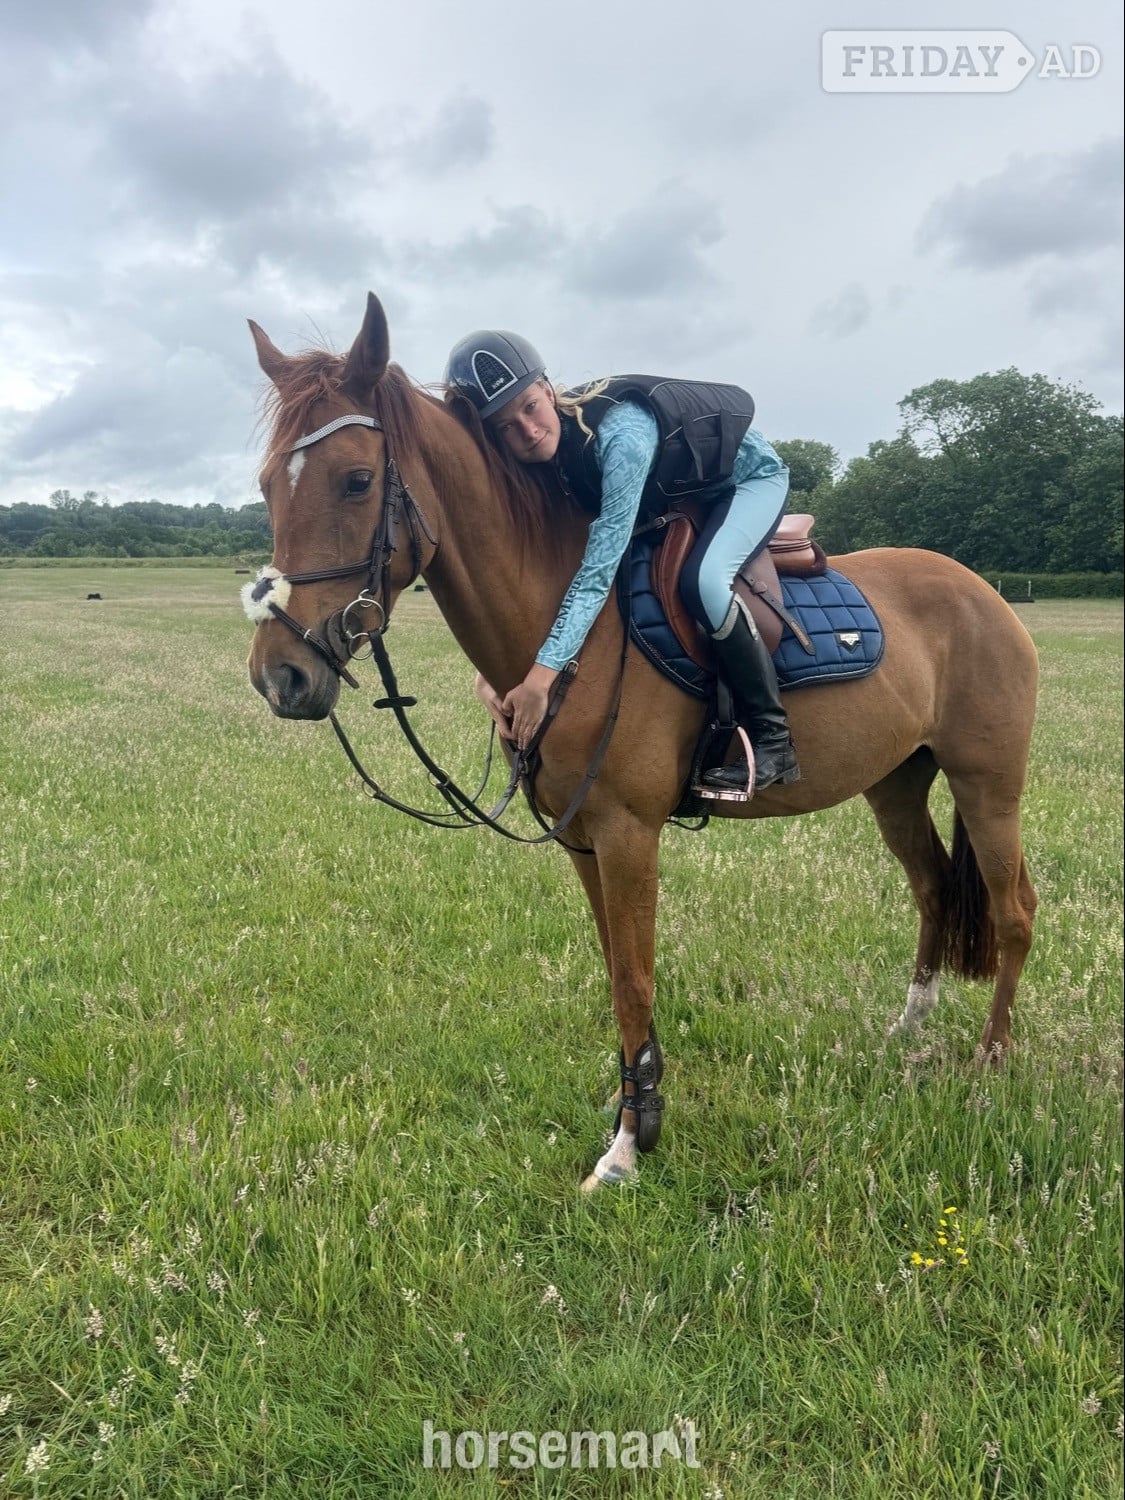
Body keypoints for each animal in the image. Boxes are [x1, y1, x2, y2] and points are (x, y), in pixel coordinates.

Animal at [244, 292, 1039, 1192]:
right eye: (267, 484)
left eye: (355, 480)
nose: (280, 677)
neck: (574, 630)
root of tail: (984, 591)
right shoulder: (582, 841)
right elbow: (615, 971)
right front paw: (629, 1100)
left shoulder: (628, 835)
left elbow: (632, 977)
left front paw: (629, 1142)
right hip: (896, 782)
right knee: (934, 890)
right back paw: (906, 1032)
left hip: (987, 783)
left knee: (1012, 910)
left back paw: (989, 1064)